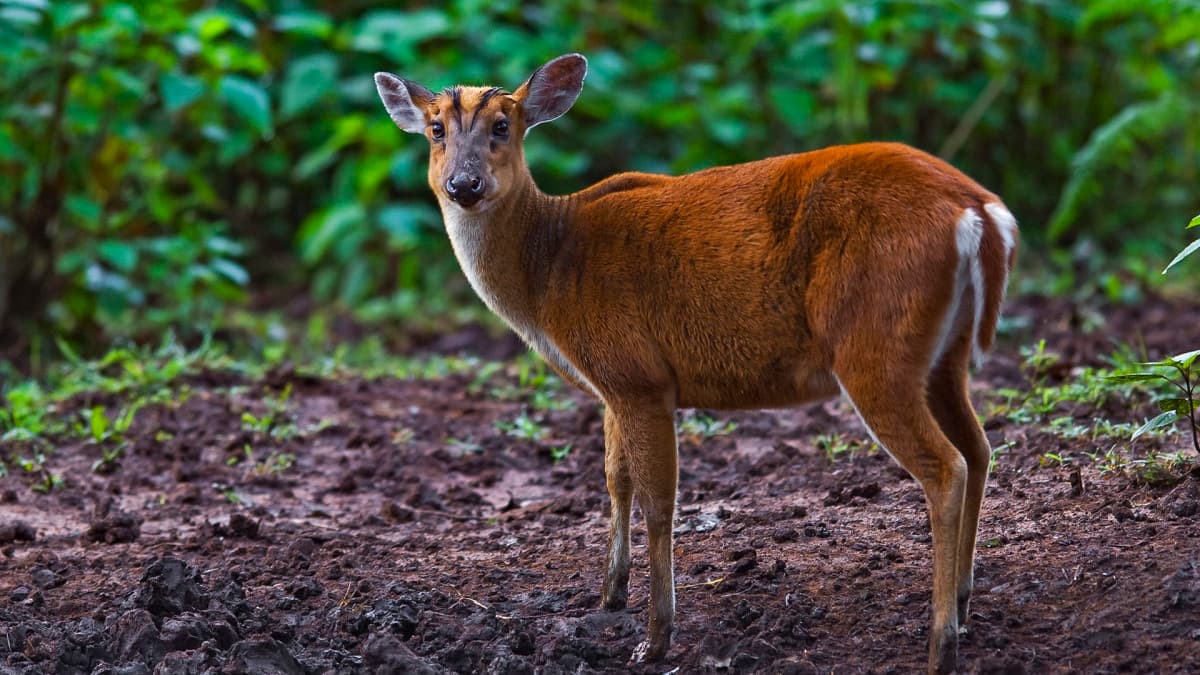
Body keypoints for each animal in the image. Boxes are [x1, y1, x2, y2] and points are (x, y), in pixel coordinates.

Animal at [374, 54, 1017, 674]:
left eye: (503, 126)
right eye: (435, 129)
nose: (464, 183)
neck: (549, 272)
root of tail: (980, 211)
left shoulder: (637, 374)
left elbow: (659, 500)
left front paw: (655, 639)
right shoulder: (615, 383)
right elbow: (615, 478)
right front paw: (609, 598)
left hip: (873, 344)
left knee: (945, 466)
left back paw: (940, 644)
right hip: (942, 354)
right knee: (979, 448)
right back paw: (963, 605)